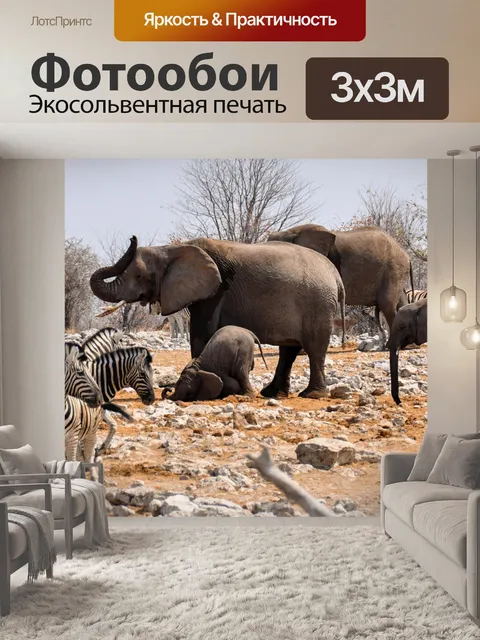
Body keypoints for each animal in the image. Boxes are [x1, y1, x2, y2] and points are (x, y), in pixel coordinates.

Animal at [90, 236, 346, 399]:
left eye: (140, 276)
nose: (132, 237)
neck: (173, 249)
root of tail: (335, 274)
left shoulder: (216, 289)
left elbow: (202, 332)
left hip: (318, 304)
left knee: (314, 348)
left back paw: (312, 395)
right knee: (289, 350)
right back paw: (272, 393)